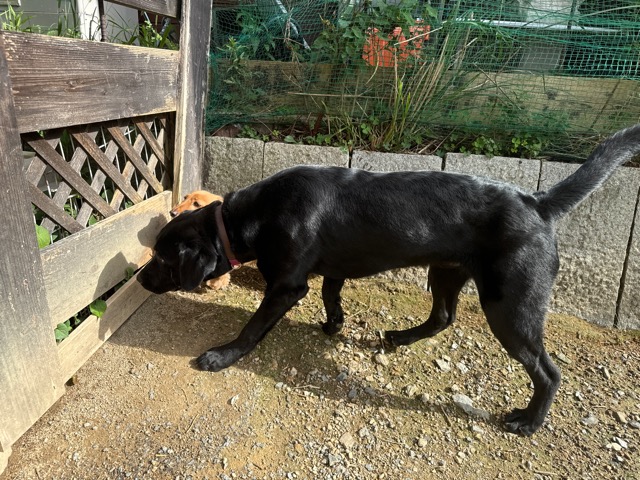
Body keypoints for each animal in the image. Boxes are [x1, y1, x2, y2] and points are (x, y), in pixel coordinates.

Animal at [139, 124, 640, 436]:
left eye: (162, 258)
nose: (140, 279)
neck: (249, 216)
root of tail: (538, 201)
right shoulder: (331, 271)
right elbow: (331, 294)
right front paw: (334, 325)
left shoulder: (285, 286)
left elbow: (253, 328)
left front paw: (222, 356)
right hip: (446, 271)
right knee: (442, 317)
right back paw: (399, 337)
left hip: (510, 306)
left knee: (548, 372)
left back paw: (529, 422)